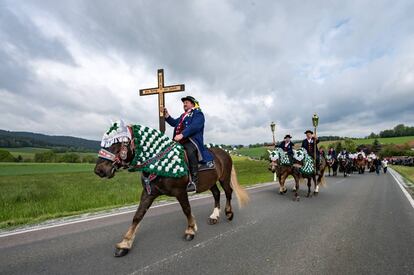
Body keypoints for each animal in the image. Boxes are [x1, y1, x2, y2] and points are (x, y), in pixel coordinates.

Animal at [94, 124, 249, 258]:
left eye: (118, 143)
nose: (99, 170)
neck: (157, 163)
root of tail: (224, 152)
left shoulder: (180, 192)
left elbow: (186, 209)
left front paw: (190, 230)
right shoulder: (148, 193)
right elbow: (138, 216)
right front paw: (125, 244)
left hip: (224, 178)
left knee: (228, 192)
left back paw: (229, 213)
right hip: (210, 182)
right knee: (216, 194)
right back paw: (214, 216)